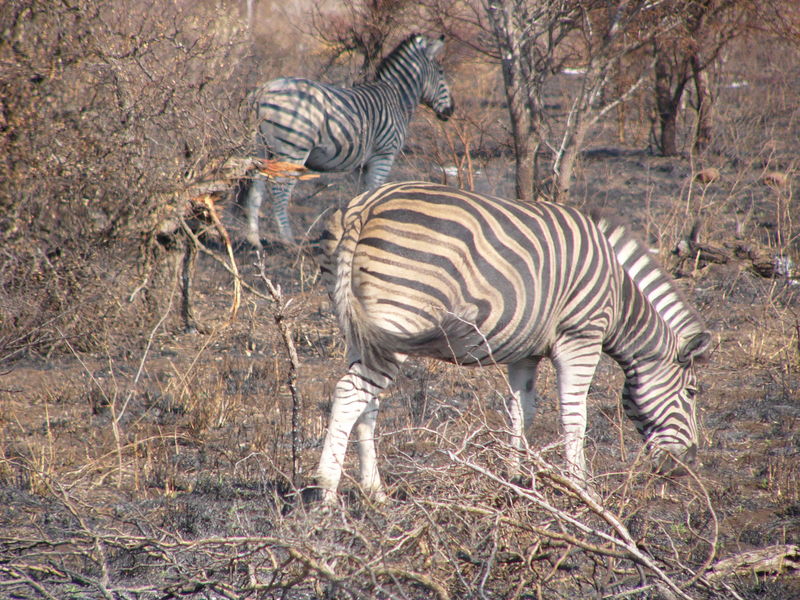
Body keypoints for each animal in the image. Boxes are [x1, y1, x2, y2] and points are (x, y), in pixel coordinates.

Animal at [244, 34, 454, 246]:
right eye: (441, 72)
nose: (451, 111)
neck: (398, 100)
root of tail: (263, 89)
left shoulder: (362, 165)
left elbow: (363, 197)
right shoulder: (384, 155)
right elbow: (375, 192)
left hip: (261, 148)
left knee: (256, 187)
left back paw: (254, 240)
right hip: (294, 149)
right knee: (279, 190)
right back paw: (288, 241)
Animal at [316, 180, 708, 504]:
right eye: (691, 394)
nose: (688, 464)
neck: (619, 296)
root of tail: (365, 207)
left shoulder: (526, 352)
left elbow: (522, 411)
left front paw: (515, 478)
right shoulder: (580, 338)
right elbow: (574, 416)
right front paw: (583, 489)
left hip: (365, 330)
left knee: (367, 403)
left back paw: (375, 493)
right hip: (398, 317)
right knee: (350, 393)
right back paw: (327, 494)